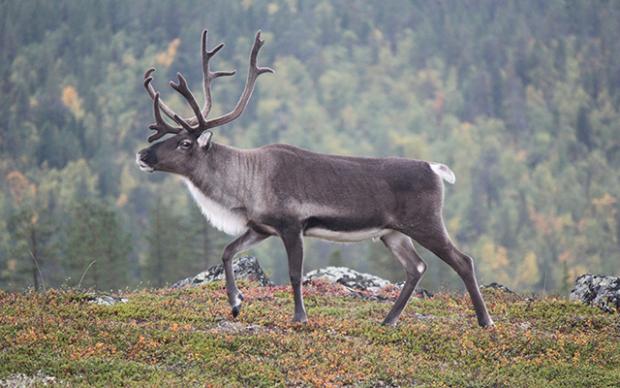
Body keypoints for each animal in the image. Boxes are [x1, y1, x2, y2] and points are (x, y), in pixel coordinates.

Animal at [137, 31, 494, 328]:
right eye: (170, 138)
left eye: (185, 143)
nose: (142, 155)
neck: (244, 186)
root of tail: (435, 168)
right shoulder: (261, 227)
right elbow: (227, 252)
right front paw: (236, 304)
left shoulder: (292, 225)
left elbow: (295, 273)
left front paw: (299, 317)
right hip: (392, 232)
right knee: (416, 267)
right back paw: (389, 320)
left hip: (425, 222)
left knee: (463, 260)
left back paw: (485, 320)